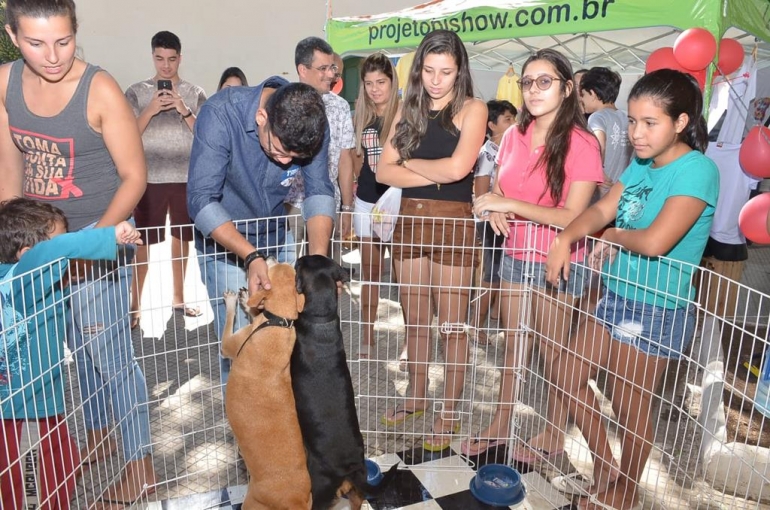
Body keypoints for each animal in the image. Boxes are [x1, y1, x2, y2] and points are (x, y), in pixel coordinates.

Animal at [220, 262, 310, 510]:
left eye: (273, 266)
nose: (267, 256)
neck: (280, 322)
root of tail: (295, 500)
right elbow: (255, 311)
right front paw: (246, 301)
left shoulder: (229, 345)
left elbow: (230, 321)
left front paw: (234, 300)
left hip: (251, 503)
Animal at [290, 255, 396, 510]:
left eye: (299, 264)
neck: (322, 320)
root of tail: (350, 468)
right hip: (358, 485)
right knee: (358, 499)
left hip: (319, 488)